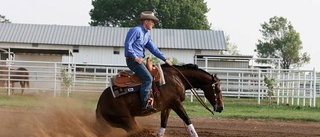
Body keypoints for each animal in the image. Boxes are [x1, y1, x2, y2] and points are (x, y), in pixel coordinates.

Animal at [96, 63, 224, 136]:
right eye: (218, 90)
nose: (221, 107)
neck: (177, 78)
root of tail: (100, 104)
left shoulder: (167, 107)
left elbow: (163, 125)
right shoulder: (176, 104)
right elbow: (187, 120)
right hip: (125, 120)